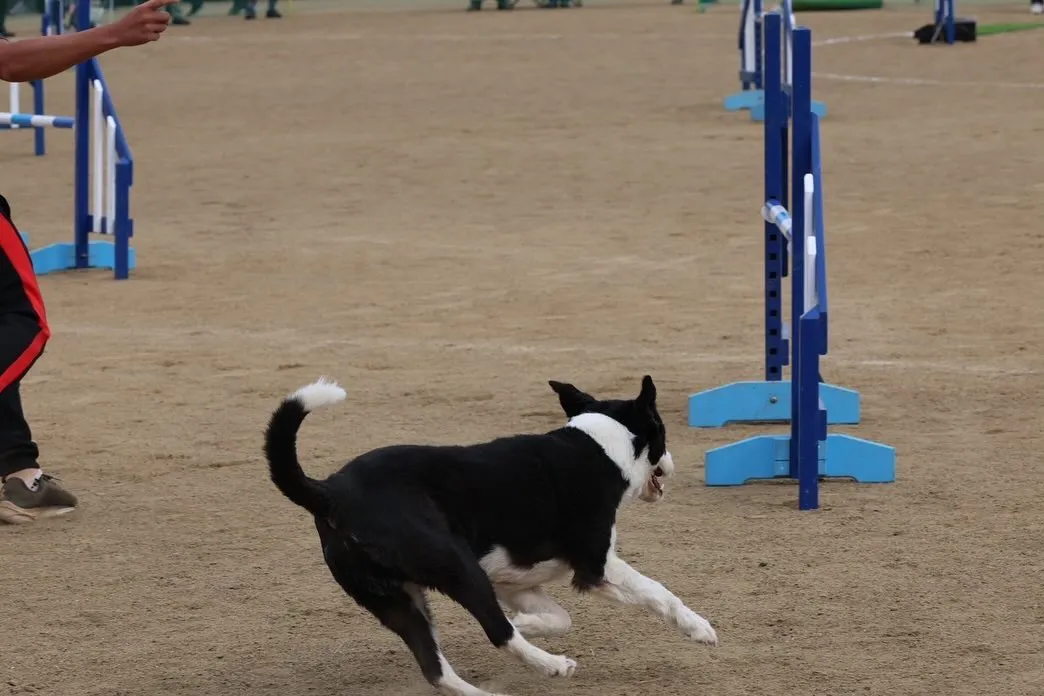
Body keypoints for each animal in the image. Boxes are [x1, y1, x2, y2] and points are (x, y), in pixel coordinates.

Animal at [263, 377, 718, 692]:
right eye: (663, 432)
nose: (672, 463)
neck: (600, 447)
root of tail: (328, 492)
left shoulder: (518, 582)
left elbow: (560, 617)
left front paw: (529, 621)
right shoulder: (596, 563)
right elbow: (658, 592)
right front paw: (699, 628)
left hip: (398, 600)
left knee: (436, 670)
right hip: (459, 568)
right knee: (496, 633)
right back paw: (552, 665)